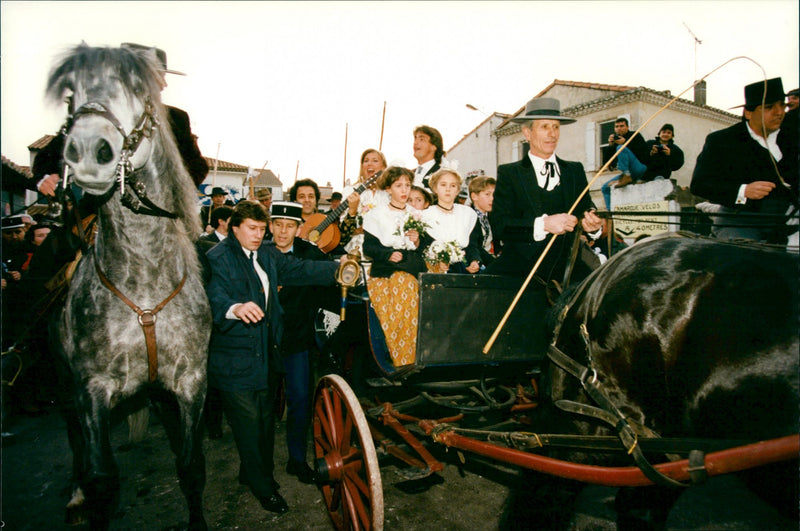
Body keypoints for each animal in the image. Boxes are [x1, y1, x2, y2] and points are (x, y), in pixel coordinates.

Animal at [48, 45, 211, 531]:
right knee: (75, 442)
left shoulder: (191, 382)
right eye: (70, 95)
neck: (144, 282)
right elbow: (103, 479)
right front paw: (90, 495)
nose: (86, 151)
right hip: (64, 384)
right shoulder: (92, 391)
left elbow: (191, 465)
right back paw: (76, 492)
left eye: (137, 88)